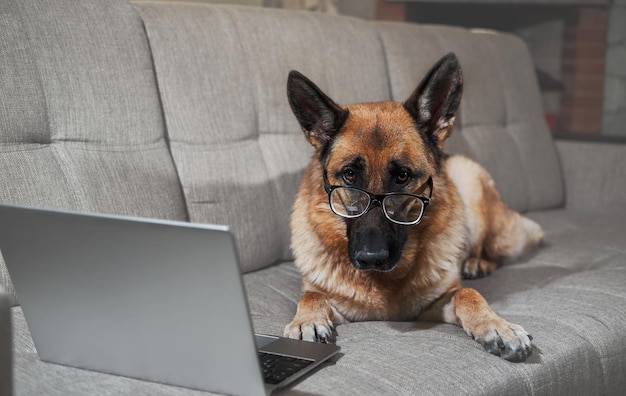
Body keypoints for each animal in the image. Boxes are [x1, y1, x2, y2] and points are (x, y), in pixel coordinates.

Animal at [282, 53, 540, 362]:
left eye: (403, 176)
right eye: (349, 175)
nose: (371, 258)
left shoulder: (434, 305)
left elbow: (467, 293)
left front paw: (497, 326)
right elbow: (311, 295)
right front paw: (306, 321)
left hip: (469, 177)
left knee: (492, 249)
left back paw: (477, 263)